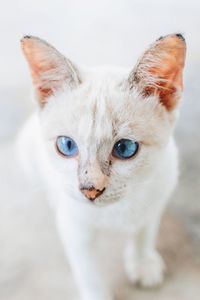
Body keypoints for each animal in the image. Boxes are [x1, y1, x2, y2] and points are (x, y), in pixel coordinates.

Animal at [17, 33, 186, 300]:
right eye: (66, 145)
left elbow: (144, 233)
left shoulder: (157, 199)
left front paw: (142, 263)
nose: (90, 190)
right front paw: (97, 293)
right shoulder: (74, 228)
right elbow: (88, 271)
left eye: (125, 148)